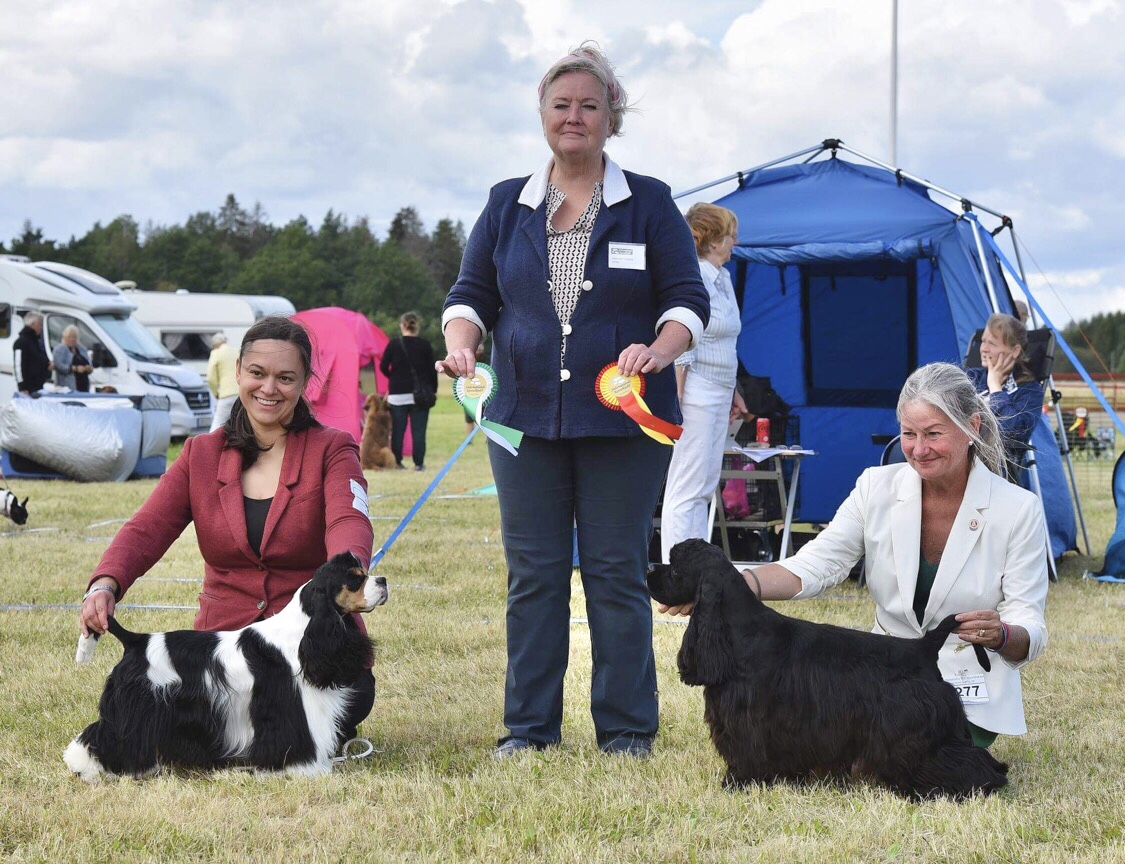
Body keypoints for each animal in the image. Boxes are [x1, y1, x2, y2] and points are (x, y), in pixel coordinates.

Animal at [64, 552, 388, 781]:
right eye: (356, 578)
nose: (383, 580)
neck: (304, 630)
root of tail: (136, 641)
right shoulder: (289, 704)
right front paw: (303, 769)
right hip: (135, 710)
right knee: (102, 736)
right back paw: (87, 767)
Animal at [648, 539, 1009, 799]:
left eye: (675, 567)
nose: (650, 569)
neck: (739, 630)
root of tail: (924, 646)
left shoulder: (747, 718)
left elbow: (745, 752)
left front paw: (737, 783)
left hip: (918, 733)